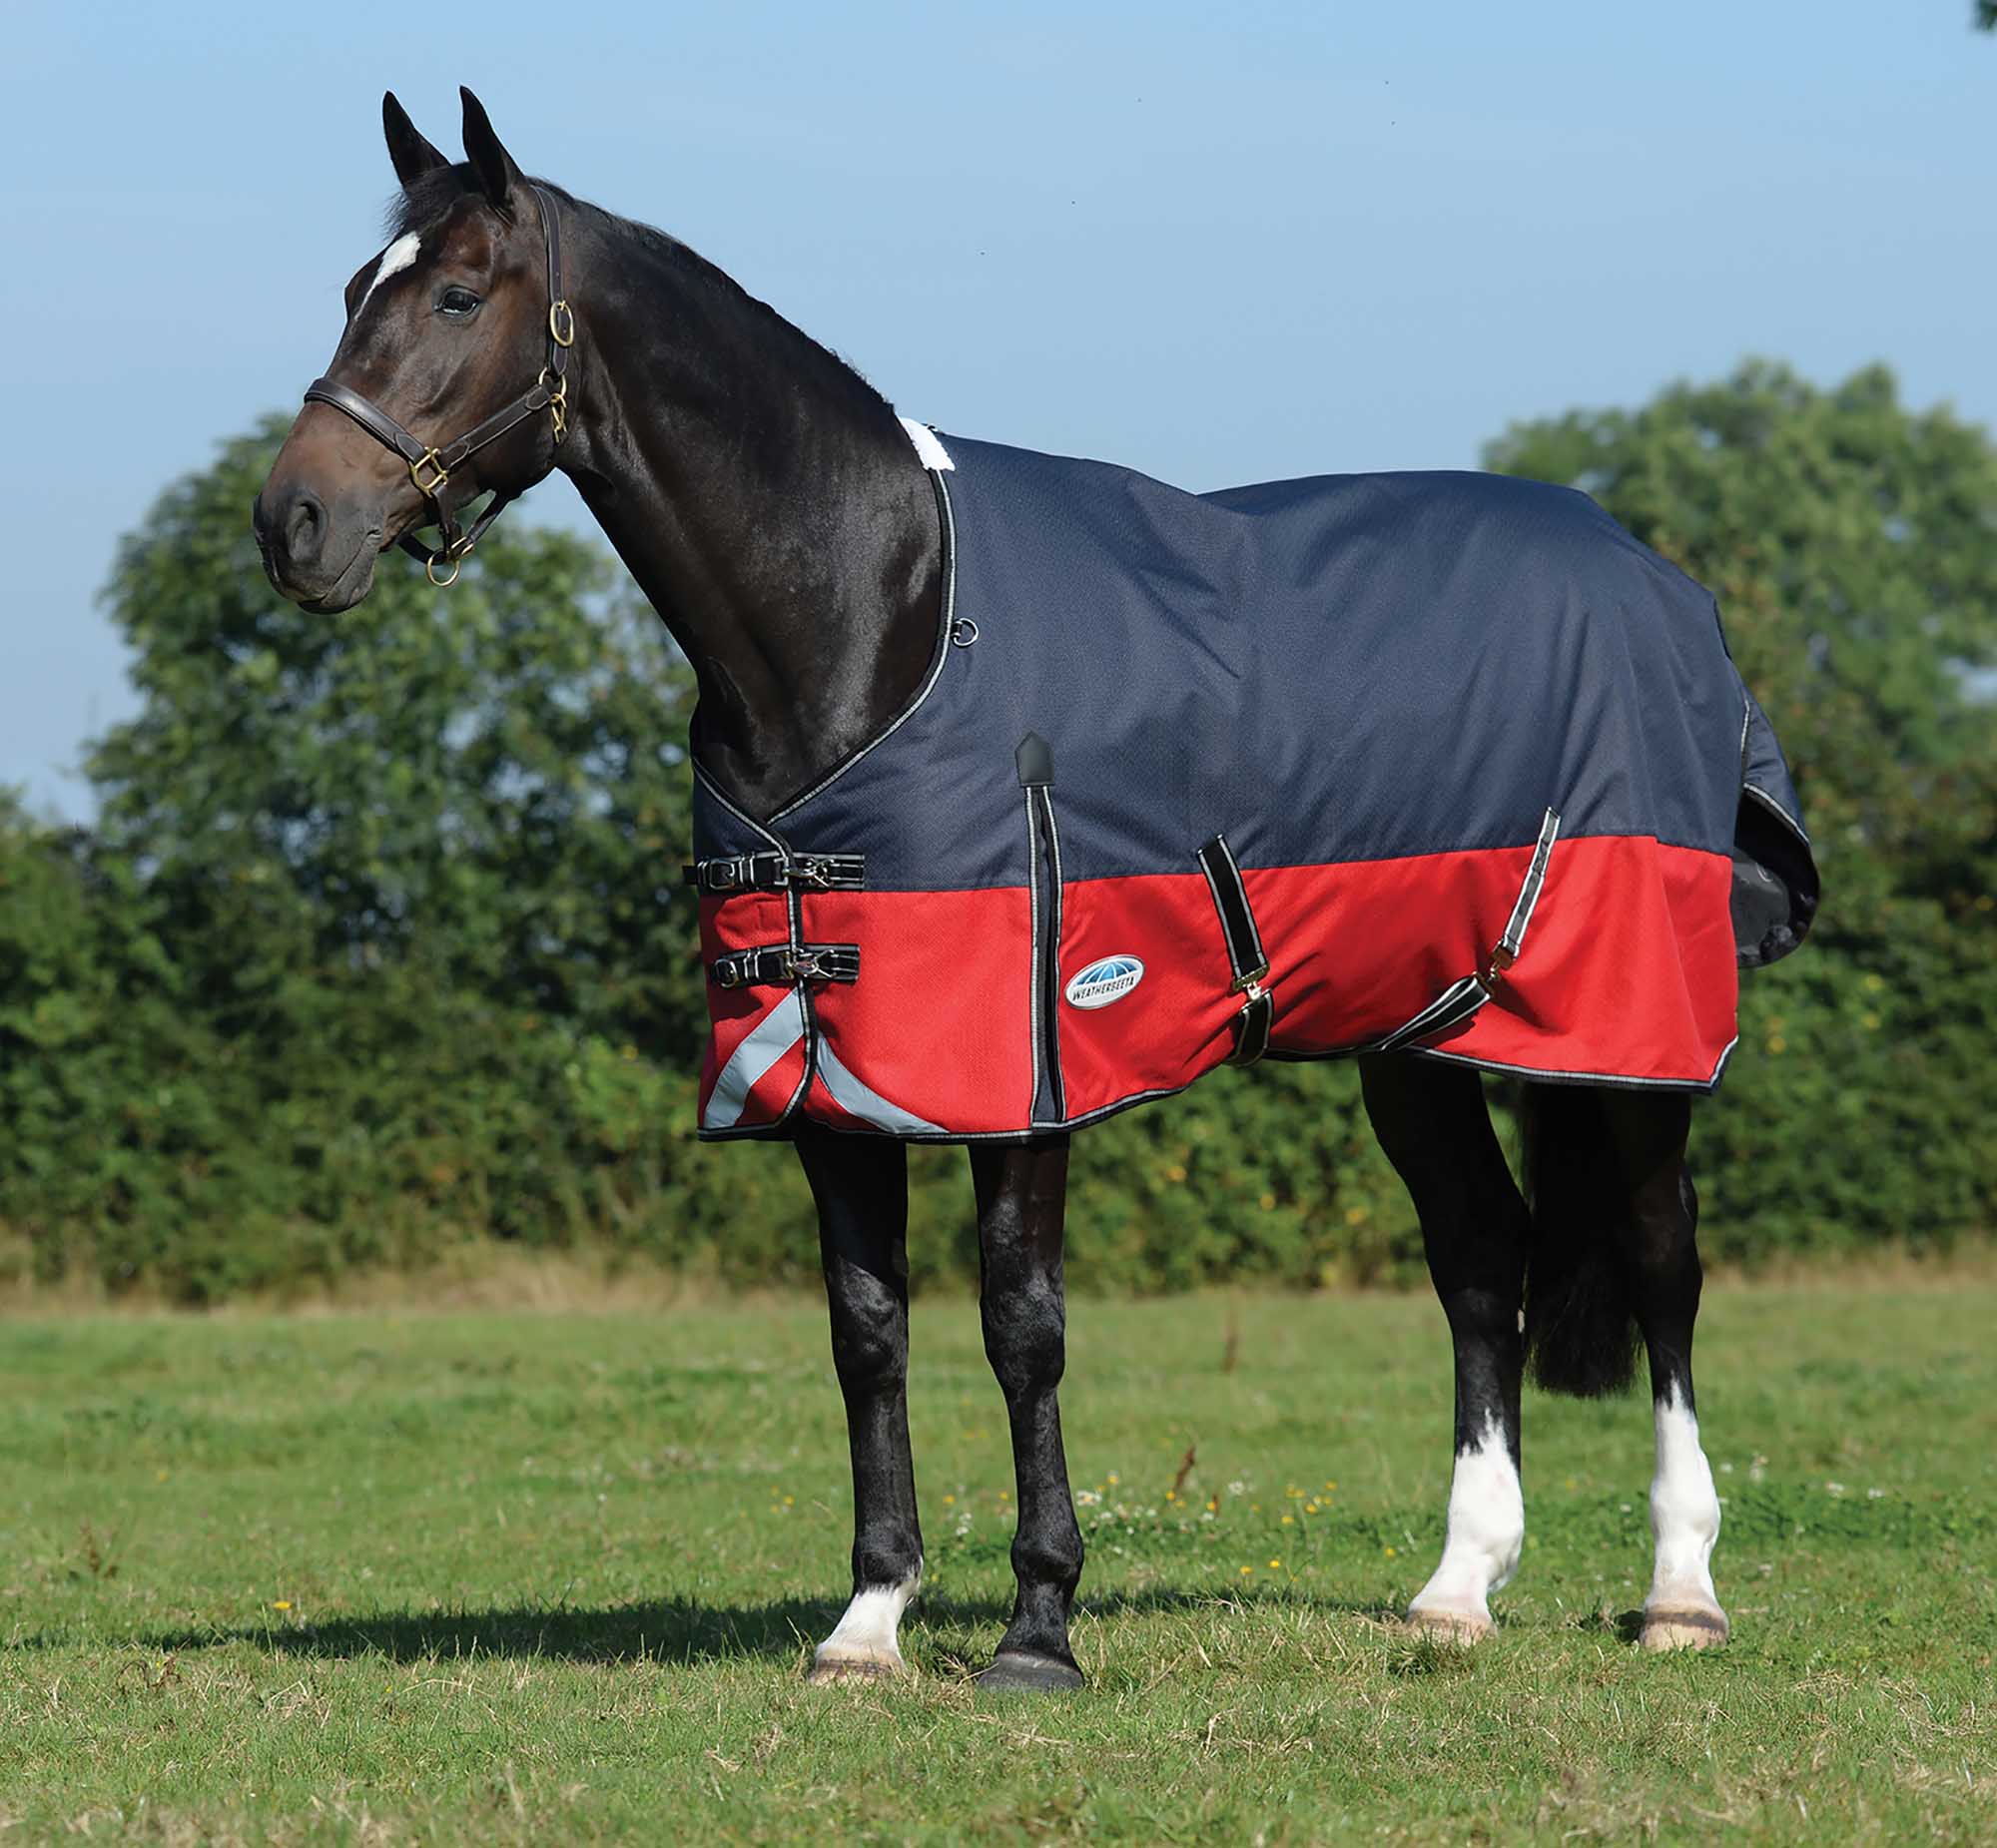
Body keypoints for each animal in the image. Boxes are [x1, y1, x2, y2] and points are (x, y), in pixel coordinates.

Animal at [253, 89, 1817, 1692]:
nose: (292, 521)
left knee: (1661, 1261)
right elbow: (865, 1332)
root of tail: (1658, 581)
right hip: (1420, 1038)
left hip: (1627, 1034)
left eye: (455, 292)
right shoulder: (827, 1071)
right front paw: (868, 1620)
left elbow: (1022, 1324)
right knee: (1480, 1255)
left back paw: (1680, 1589)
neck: (878, 616)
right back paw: (1458, 1587)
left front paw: (1038, 1624)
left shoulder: (1028, 1061)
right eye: (352, 287)